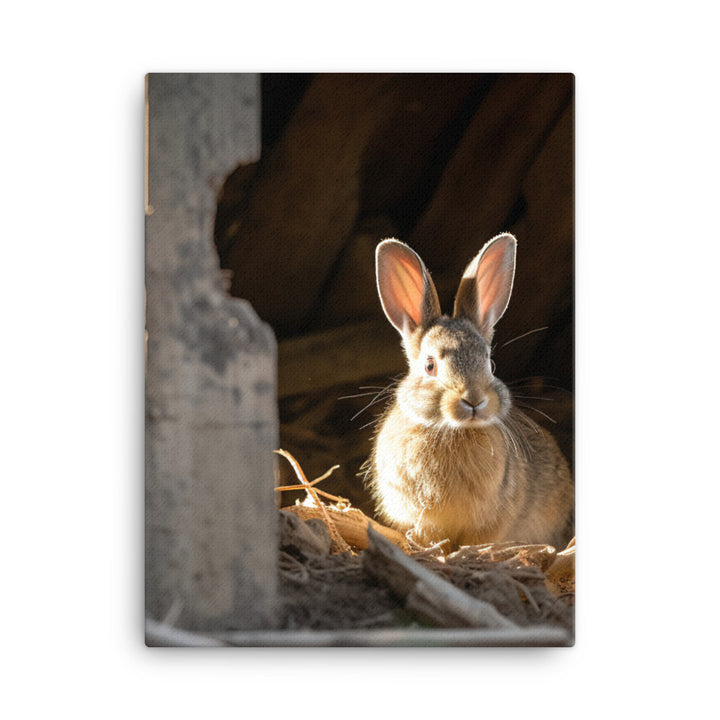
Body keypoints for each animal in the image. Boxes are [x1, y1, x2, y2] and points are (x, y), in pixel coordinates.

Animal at [365, 233, 573, 550]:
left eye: (490, 362)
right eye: (429, 366)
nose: (474, 400)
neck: (454, 431)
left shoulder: (490, 522)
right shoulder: (422, 520)